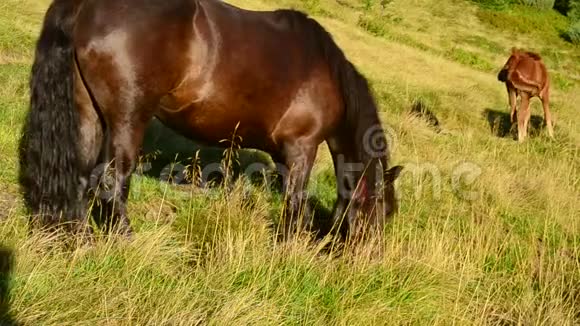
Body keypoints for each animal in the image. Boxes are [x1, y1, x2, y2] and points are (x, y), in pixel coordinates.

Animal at [18, 0, 404, 239]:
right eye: (382, 211)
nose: (369, 260)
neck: (327, 73)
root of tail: (87, 6)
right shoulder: (302, 147)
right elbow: (296, 203)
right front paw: (291, 248)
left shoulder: (283, 154)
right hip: (129, 119)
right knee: (112, 183)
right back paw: (125, 239)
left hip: (89, 113)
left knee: (81, 177)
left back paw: (80, 238)